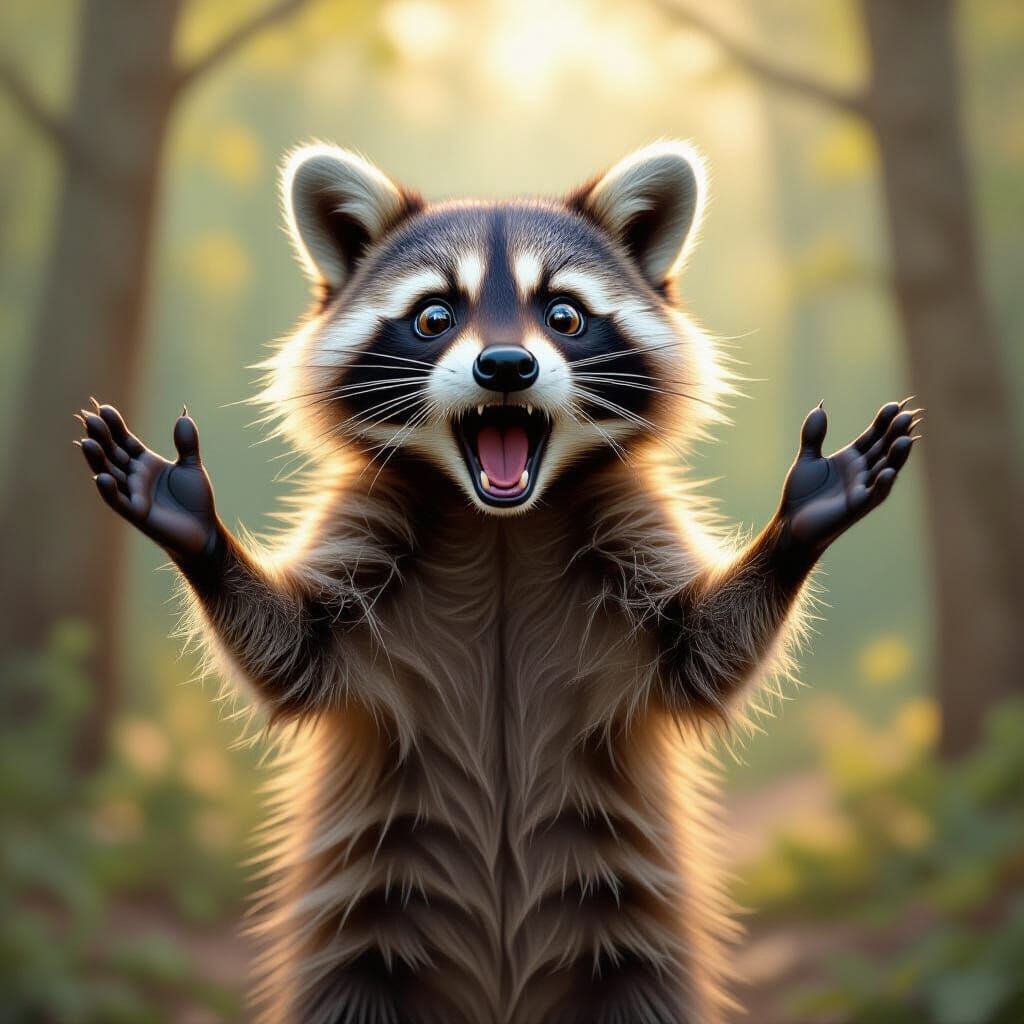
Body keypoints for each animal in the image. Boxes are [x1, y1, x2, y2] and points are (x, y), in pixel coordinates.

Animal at [77, 141, 919, 1024]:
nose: (506, 366)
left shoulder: (626, 521)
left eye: (566, 316)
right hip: (368, 928)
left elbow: (702, 651)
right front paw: (196, 529)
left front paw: (799, 523)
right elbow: (294, 652)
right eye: (433, 317)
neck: (501, 522)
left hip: (624, 932)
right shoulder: (369, 522)